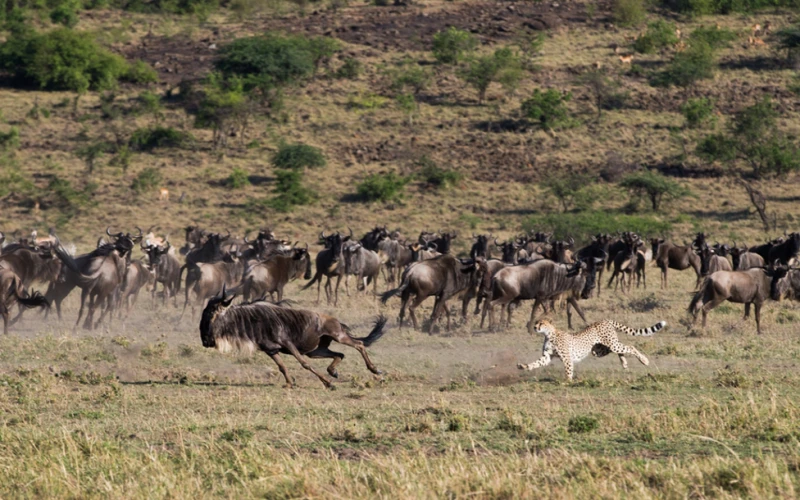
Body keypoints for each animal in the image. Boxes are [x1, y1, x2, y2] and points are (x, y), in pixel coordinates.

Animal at [516, 318, 664, 380]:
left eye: (541, 323)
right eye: (536, 322)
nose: (535, 327)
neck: (549, 334)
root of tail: (605, 320)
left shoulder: (567, 358)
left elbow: (568, 370)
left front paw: (568, 382)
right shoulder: (547, 357)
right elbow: (536, 363)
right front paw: (524, 366)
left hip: (610, 344)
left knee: (630, 347)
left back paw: (644, 360)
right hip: (598, 350)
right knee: (619, 350)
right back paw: (624, 363)